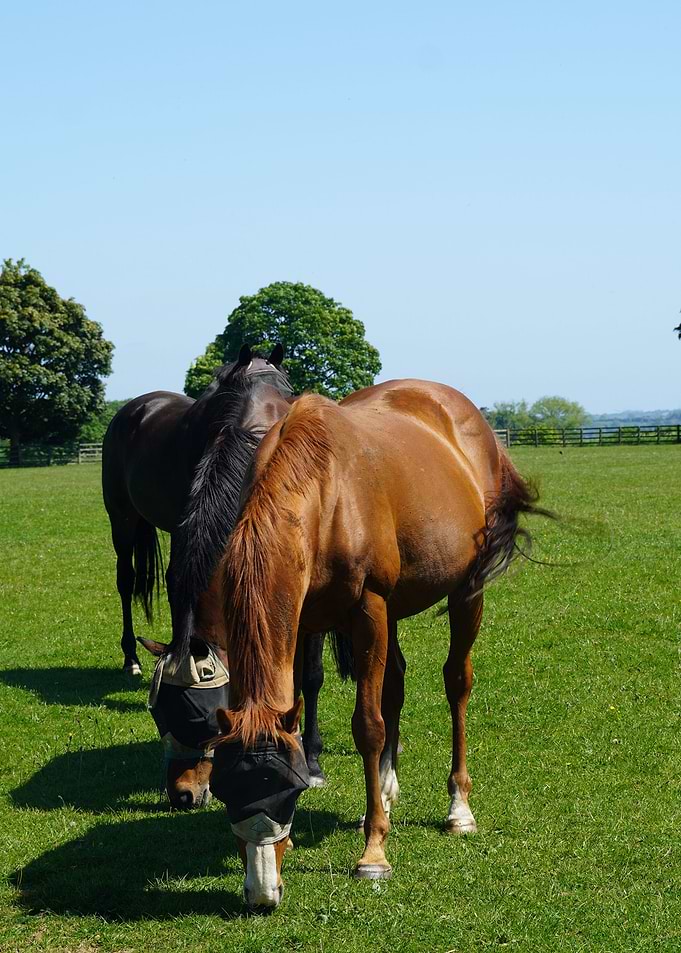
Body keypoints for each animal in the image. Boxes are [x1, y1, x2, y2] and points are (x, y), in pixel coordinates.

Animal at [101, 345, 334, 806]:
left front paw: (312, 758)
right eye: (159, 716)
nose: (182, 795)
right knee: (125, 581)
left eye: (204, 718)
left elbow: (310, 675)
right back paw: (130, 658)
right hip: (122, 518)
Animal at [202, 378, 548, 910]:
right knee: (396, 685)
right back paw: (381, 795)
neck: (327, 492)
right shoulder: (302, 621)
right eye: (225, 791)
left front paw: (374, 854)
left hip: (465, 592)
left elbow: (368, 726)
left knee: (457, 683)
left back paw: (458, 807)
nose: (262, 894)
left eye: (286, 791)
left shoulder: (369, 609)